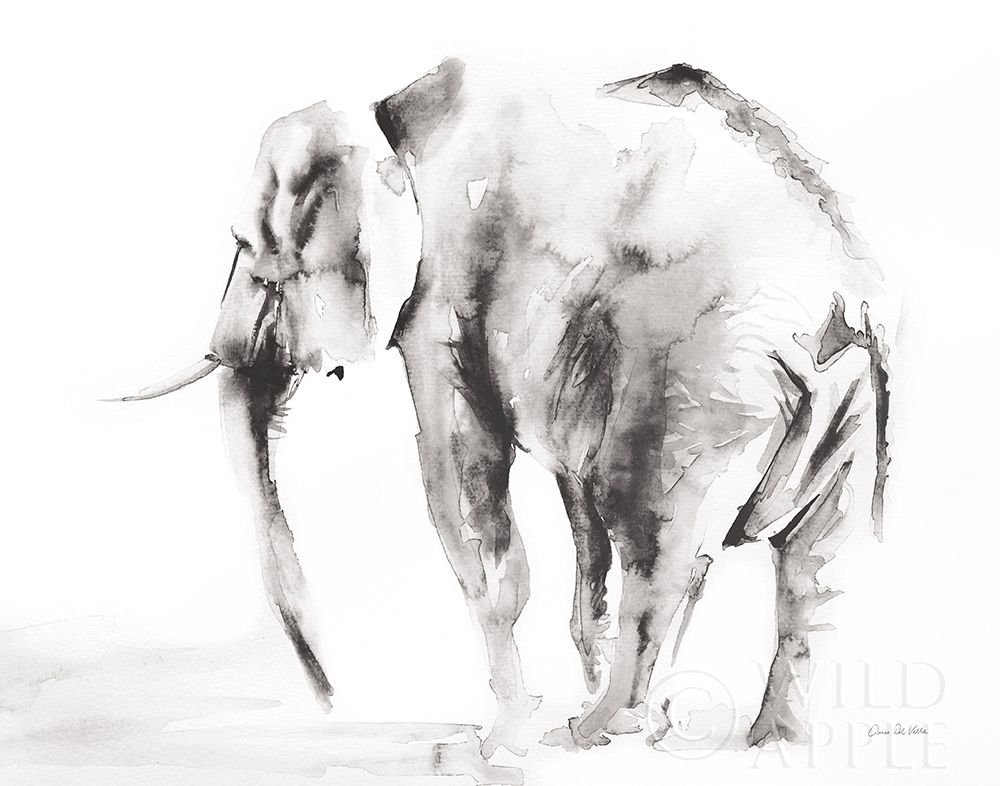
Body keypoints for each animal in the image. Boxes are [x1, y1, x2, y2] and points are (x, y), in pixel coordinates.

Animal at [122, 59, 892, 757]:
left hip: (698, 385)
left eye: (246, 247)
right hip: (853, 401)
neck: (390, 114)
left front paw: (499, 745)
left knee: (658, 541)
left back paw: (594, 731)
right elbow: (579, 514)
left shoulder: (443, 292)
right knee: (817, 565)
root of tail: (841, 298)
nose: (329, 697)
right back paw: (766, 740)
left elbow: (462, 477)